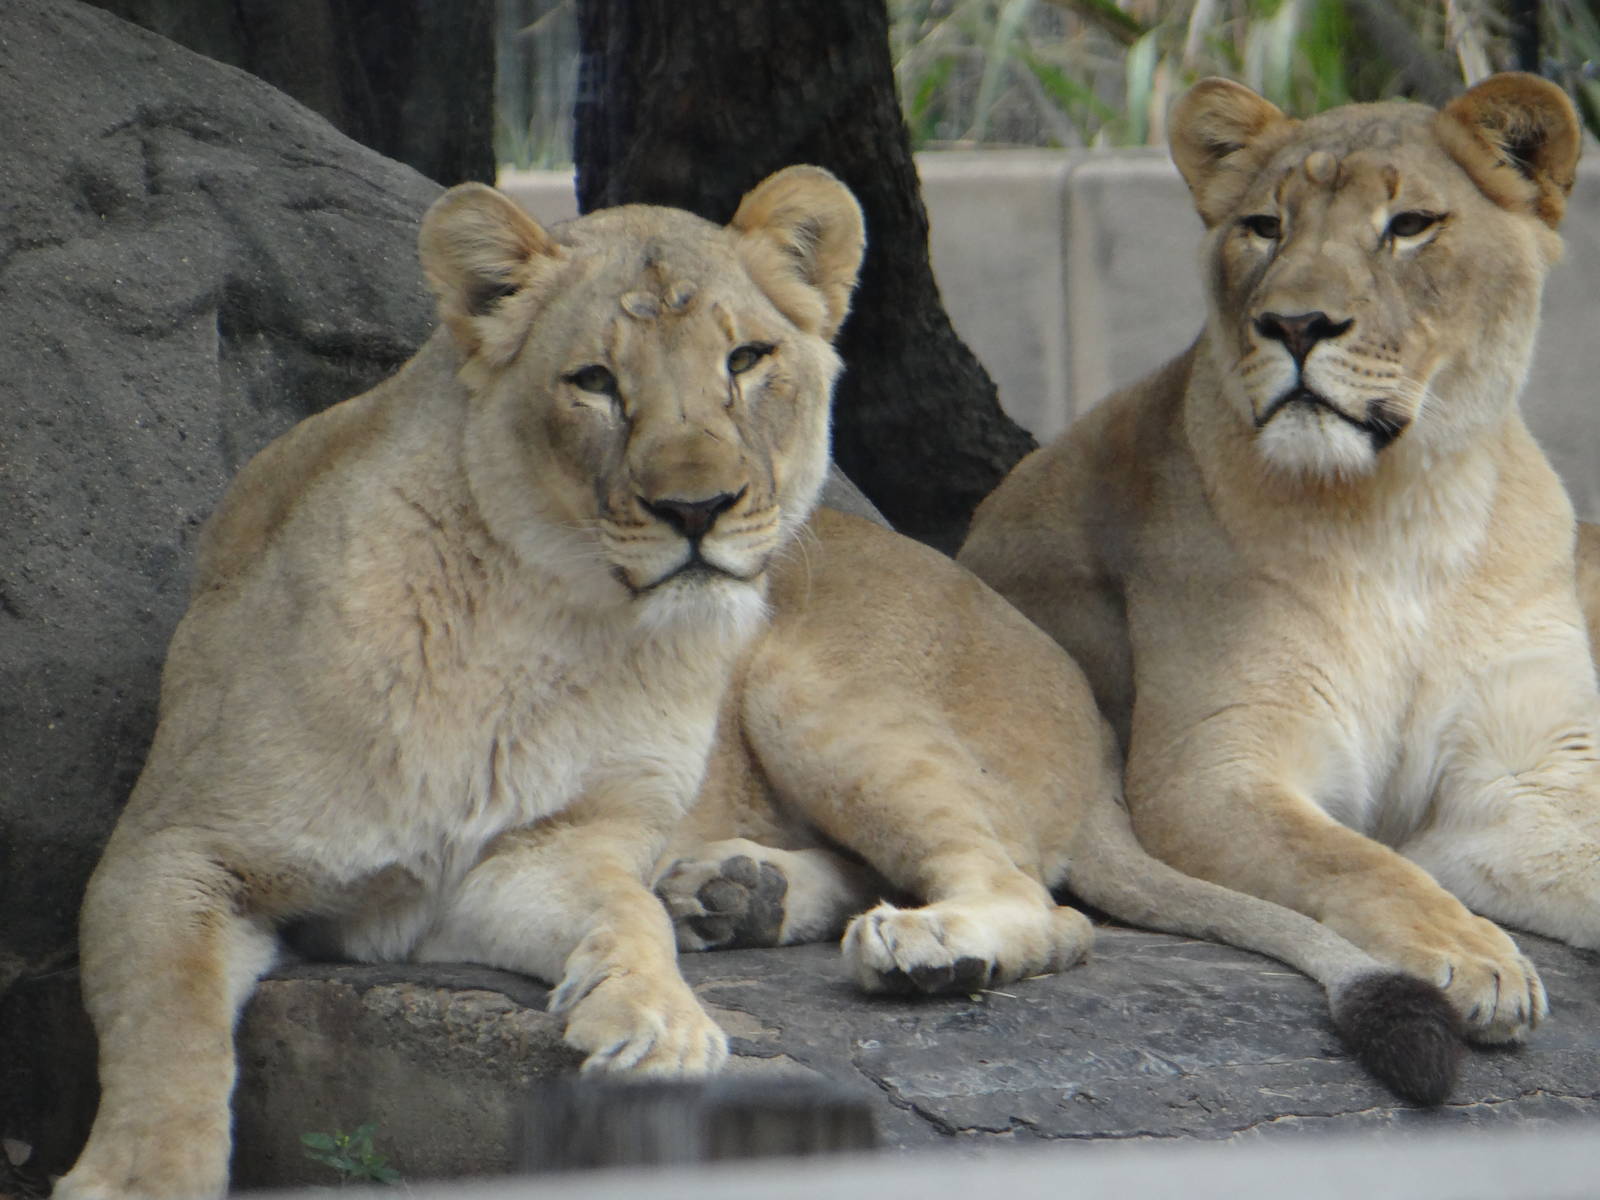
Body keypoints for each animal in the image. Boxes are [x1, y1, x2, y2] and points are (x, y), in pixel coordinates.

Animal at [58, 165, 865, 1200]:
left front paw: (659, 1020)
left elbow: (625, 905)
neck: (546, 617)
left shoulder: (542, 848)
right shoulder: (174, 849)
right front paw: (140, 1177)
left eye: (749, 359)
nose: (697, 508)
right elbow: (169, 1025)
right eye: (595, 382)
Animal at [959, 73, 1596, 1054]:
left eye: (1410, 224)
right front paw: (1474, 956)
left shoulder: (1528, 777)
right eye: (1265, 225)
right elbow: (1359, 861)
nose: (1295, 324)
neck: (1405, 508)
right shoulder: (1210, 768)